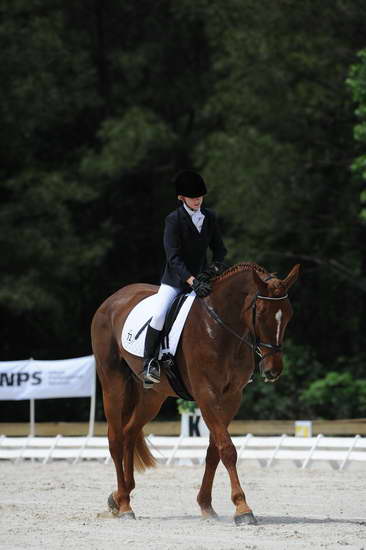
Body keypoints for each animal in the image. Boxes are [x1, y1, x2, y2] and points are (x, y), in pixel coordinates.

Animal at [91, 264, 300, 528]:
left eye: (289, 314)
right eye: (261, 312)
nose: (273, 370)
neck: (221, 326)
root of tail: (111, 300)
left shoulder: (231, 398)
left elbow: (214, 451)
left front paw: (206, 505)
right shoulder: (206, 394)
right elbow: (227, 449)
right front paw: (242, 508)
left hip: (153, 395)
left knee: (129, 433)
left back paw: (120, 497)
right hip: (113, 383)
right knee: (116, 438)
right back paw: (125, 505)